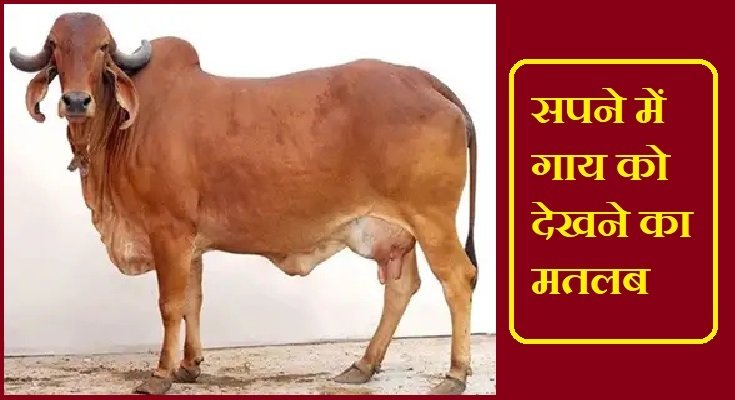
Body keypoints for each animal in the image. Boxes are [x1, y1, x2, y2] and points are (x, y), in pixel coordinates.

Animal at [8, 12, 479, 395]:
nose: (75, 101)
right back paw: (363, 365)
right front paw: (189, 366)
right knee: (401, 288)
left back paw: (455, 374)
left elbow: (170, 305)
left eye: (103, 47)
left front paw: (160, 374)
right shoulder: (190, 242)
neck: (122, 128)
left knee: (458, 279)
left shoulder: (168, 231)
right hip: (398, 232)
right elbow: (193, 300)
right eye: (54, 45)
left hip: (432, 220)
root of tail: (422, 79)